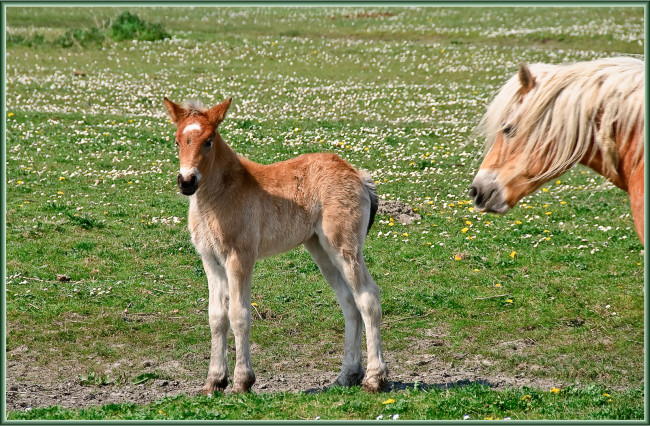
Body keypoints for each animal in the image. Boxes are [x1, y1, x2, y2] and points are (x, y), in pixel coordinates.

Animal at [163, 96, 384, 392]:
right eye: (177, 141)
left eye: (209, 140)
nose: (187, 181)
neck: (218, 197)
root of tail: (358, 174)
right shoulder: (210, 260)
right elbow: (216, 318)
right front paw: (214, 381)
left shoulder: (240, 257)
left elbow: (239, 315)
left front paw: (242, 381)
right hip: (320, 249)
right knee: (349, 303)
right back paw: (346, 376)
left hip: (344, 247)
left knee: (368, 298)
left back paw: (374, 378)